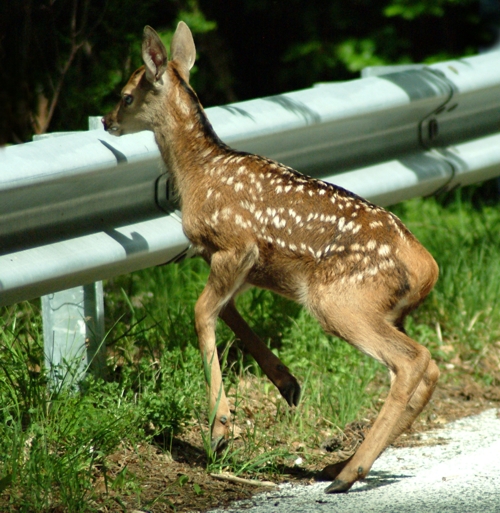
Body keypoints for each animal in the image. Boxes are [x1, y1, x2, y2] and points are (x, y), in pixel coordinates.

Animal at [102, 21, 442, 492]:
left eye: (126, 95)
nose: (106, 120)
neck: (197, 173)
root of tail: (426, 265)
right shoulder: (239, 265)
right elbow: (228, 314)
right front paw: (287, 383)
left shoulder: (235, 245)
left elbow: (202, 312)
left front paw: (221, 428)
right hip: (387, 309)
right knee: (429, 367)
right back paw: (340, 465)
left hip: (340, 299)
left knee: (413, 362)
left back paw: (347, 473)